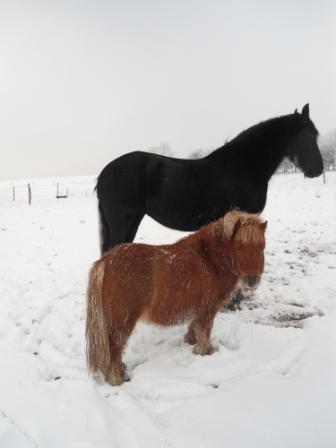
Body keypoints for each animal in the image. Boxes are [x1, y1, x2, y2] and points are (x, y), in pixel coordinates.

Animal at [86, 210, 268, 384]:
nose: (252, 281)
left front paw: (191, 342)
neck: (211, 258)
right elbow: (204, 332)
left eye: (262, 247)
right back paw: (117, 379)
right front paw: (205, 352)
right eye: (239, 247)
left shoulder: (198, 309)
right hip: (122, 322)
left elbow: (194, 328)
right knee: (114, 350)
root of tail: (105, 261)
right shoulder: (208, 311)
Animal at [96, 103, 322, 254]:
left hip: (134, 218)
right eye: (309, 136)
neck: (243, 165)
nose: (318, 169)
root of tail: (104, 173)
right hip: (121, 221)